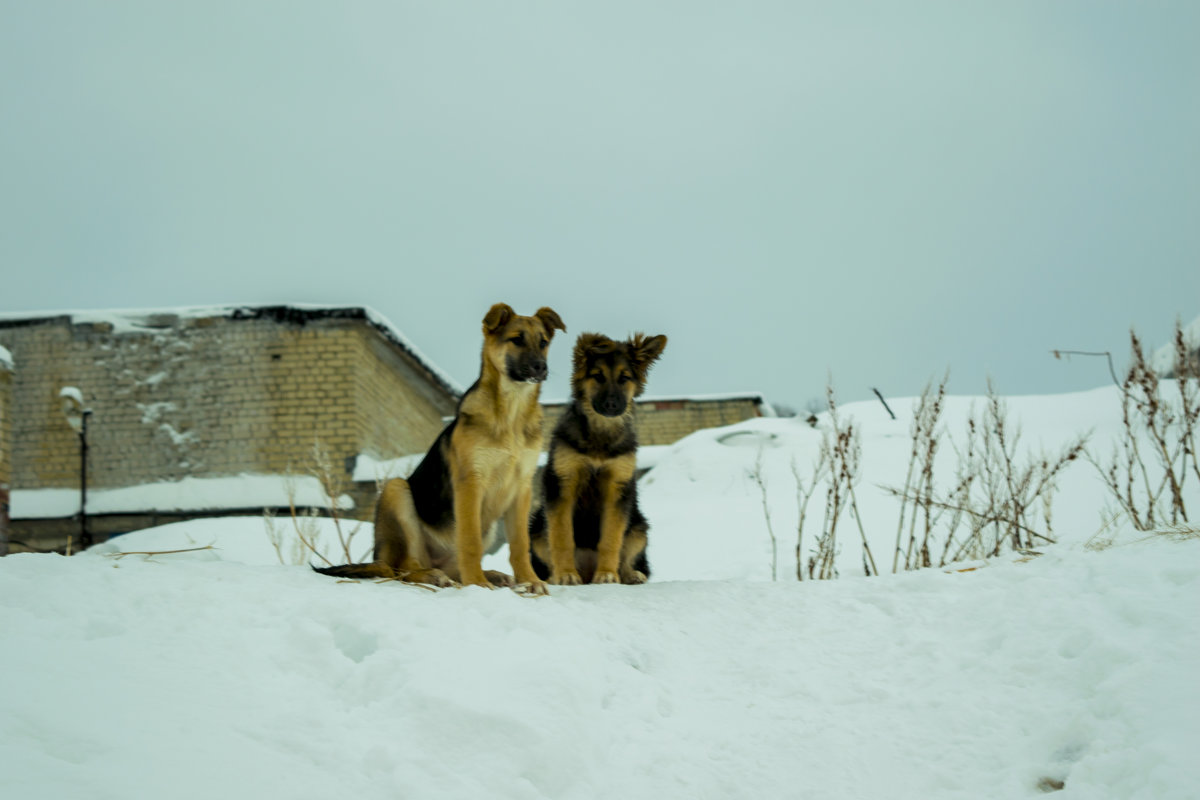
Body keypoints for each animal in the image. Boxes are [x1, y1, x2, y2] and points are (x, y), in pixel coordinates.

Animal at [314, 303, 566, 597]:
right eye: (516, 339)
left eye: (543, 342)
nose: (541, 367)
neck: (512, 413)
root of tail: (381, 557)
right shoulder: (470, 483)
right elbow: (470, 541)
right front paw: (477, 583)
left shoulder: (521, 489)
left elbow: (519, 544)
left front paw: (530, 580)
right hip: (396, 491)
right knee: (403, 568)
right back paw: (435, 576)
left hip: (486, 526)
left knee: (442, 568)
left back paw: (491, 574)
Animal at [532, 328, 672, 585]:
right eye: (597, 376)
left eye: (624, 378)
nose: (611, 405)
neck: (600, 435)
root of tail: (587, 570)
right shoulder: (563, 485)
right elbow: (562, 537)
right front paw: (566, 574)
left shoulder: (617, 488)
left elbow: (611, 538)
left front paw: (607, 574)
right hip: (536, 525)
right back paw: (554, 577)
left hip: (639, 526)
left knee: (628, 556)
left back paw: (630, 575)